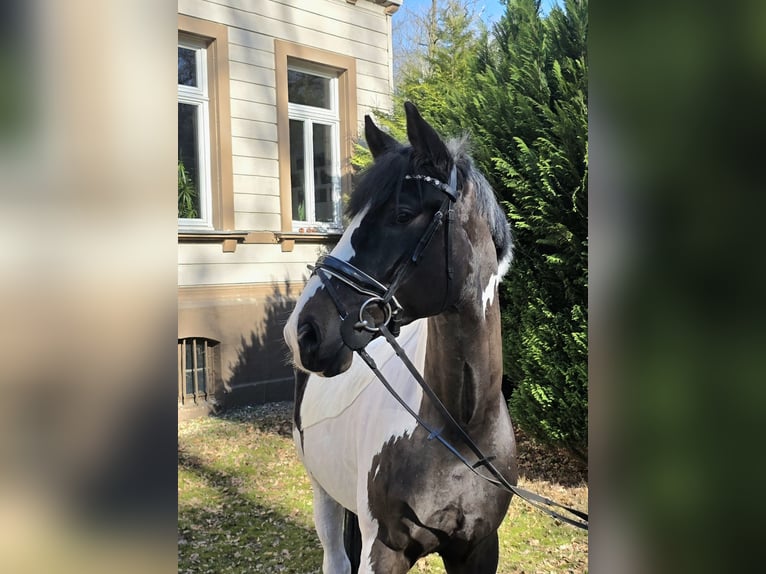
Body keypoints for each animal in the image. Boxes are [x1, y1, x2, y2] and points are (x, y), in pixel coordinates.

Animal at [283, 102, 517, 573]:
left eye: (403, 215)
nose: (303, 332)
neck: (460, 434)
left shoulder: (480, 548)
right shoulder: (383, 552)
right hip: (321, 491)